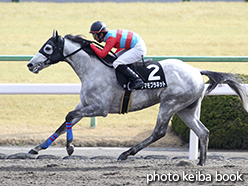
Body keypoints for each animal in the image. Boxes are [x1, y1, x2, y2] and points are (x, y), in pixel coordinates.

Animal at [27, 30, 248, 166]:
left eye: (48, 48)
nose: (30, 64)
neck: (93, 69)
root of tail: (196, 71)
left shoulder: (100, 108)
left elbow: (68, 115)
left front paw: (70, 147)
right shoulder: (86, 104)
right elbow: (65, 122)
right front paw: (37, 148)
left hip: (170, 103)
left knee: (159, 132)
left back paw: (126, 153)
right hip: (186, 108)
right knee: (202, 132)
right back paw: (201, 163)